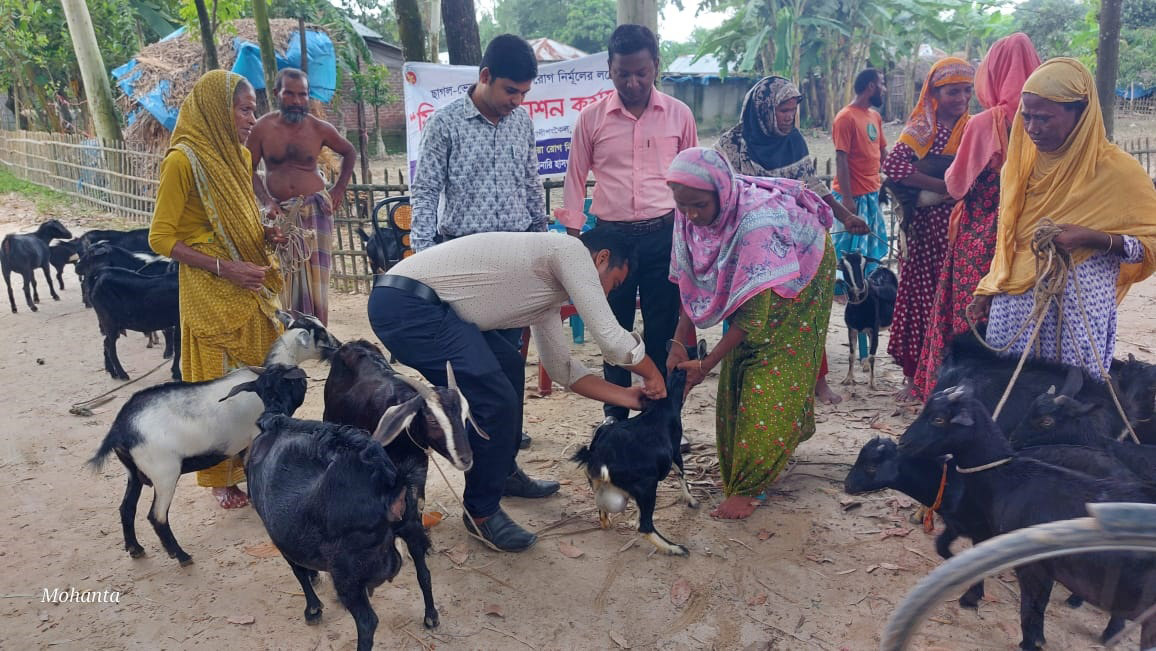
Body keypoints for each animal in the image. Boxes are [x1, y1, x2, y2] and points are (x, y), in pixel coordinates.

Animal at [86, 311, 340, 566]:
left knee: (126, 508)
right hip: (164, 473)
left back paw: (135, 548)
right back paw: (181, 555)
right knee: (156, 516)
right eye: (321, 333)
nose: (338, 346)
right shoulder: (253, 438)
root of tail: (121, 426)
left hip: (134, 472)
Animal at [240, 365, 437, 649]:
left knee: (367, 622)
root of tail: (389, 485)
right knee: (424, 573)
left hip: (347, 572)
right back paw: (431, 616)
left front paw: (312, 609)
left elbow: (298, 571)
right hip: (411, 528)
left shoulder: (279, 535)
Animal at [572, 340, 705, 556]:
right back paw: (675, 548)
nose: (702, 343)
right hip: (647, 486)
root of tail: (599, 457)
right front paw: (692, 501)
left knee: (603, 512)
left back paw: (607, 522)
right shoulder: (675, 450)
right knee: (644, 526)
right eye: (694, 351)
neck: (664, 406)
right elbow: (681, 474)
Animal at [837, 252, 897, 389]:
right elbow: (851, 355)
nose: (860, 286)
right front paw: (848, 379)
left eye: (864, 264)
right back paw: (865, 366)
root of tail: (883, 269)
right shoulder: (851, 329)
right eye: (844, 266)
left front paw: (872, 383)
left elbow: (872, 356)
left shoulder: (874, 328)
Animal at [900, 385, 1156, 650]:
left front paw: (1028, 642)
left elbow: (1029, 607)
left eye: (938, 419)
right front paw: (1038, 638)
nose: (903, 442)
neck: (1008, 479)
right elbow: (1039, 605)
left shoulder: (1030, 565)